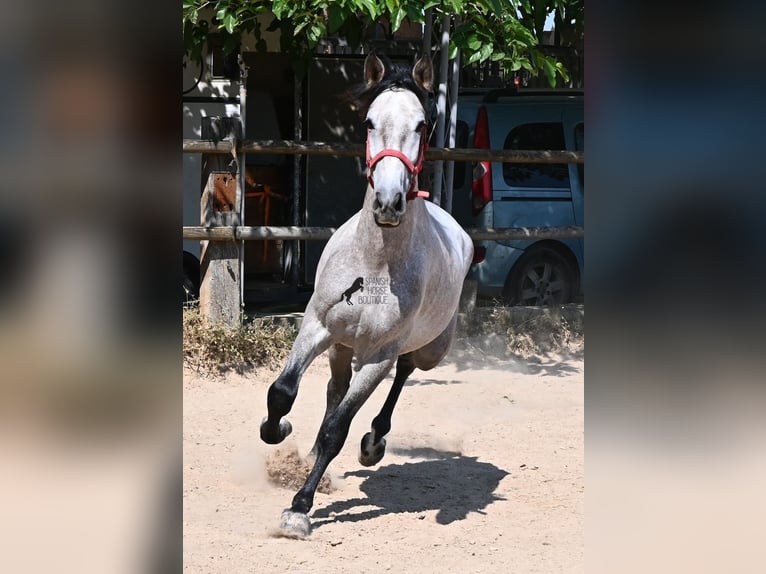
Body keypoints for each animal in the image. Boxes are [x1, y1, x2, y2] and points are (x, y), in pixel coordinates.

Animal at [259, 52, 473, 538]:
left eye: (422, 125)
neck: (374, 263)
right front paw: (276, 431)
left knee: (403, 374)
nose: (389, 203)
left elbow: (337, 431)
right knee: (335, 389)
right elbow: (282, 393)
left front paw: (299, 508)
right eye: (370, 121)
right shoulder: (316, 325)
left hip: (426, 350)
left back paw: (373, 442)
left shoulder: (378, 355)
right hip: (341, 346)